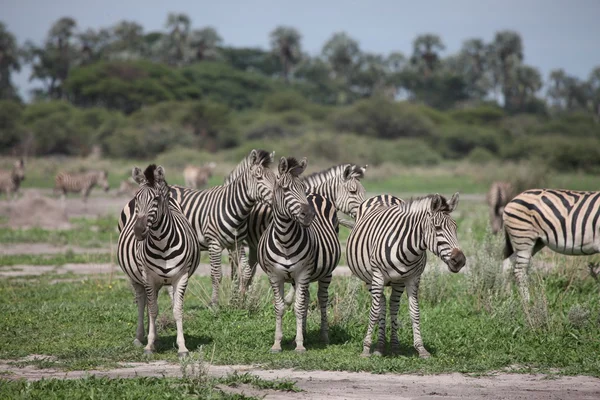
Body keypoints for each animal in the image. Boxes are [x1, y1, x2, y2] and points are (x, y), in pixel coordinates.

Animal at [116, 165, 200, 356]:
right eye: (137, 198)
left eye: (156, 198)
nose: (138, 231)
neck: (162, 244)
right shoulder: (147, 276)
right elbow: (153, 309)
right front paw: (148, 346)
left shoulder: (181, 276)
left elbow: (177, 310)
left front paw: (182, 347)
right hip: (135, 277)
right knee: (142, 302)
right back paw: (141, 337)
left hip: (164, 281)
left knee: (155, 300)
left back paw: (154, 337)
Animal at [118, 148, 276, 304]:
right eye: (258, 177)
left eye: (275, 178)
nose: (276, 198)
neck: (233, 206)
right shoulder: (214, 243)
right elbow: (217, 275)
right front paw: (215, 303)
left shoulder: (236, 244)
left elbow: (245, 271)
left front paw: (241, 301)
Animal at [258, 157, 342, 354]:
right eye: (285, 189)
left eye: (302, 188)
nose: (309, 214)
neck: (285, 239)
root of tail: (316, 194)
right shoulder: (275, 276)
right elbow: (281, 307)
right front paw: (278, 343)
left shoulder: (303, 273)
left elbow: (298, 307)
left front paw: (300, 345)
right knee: (306, 299)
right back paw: (302, 332)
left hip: (326, 273)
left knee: (321, 299)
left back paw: (323, 336)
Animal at [344, 192, 466, 358]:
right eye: (437, 228)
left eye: (456, 227)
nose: (460, 260)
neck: (408, 247)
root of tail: (383, 195)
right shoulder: (378, 276)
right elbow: (374, 312)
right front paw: (366, 349)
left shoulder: (413, 278)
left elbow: (414, 312)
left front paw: (421, 349)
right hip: (369, 278)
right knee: (380, 304)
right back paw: (379, 347)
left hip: (398, 282)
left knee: (391, 305)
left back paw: (393, 346)